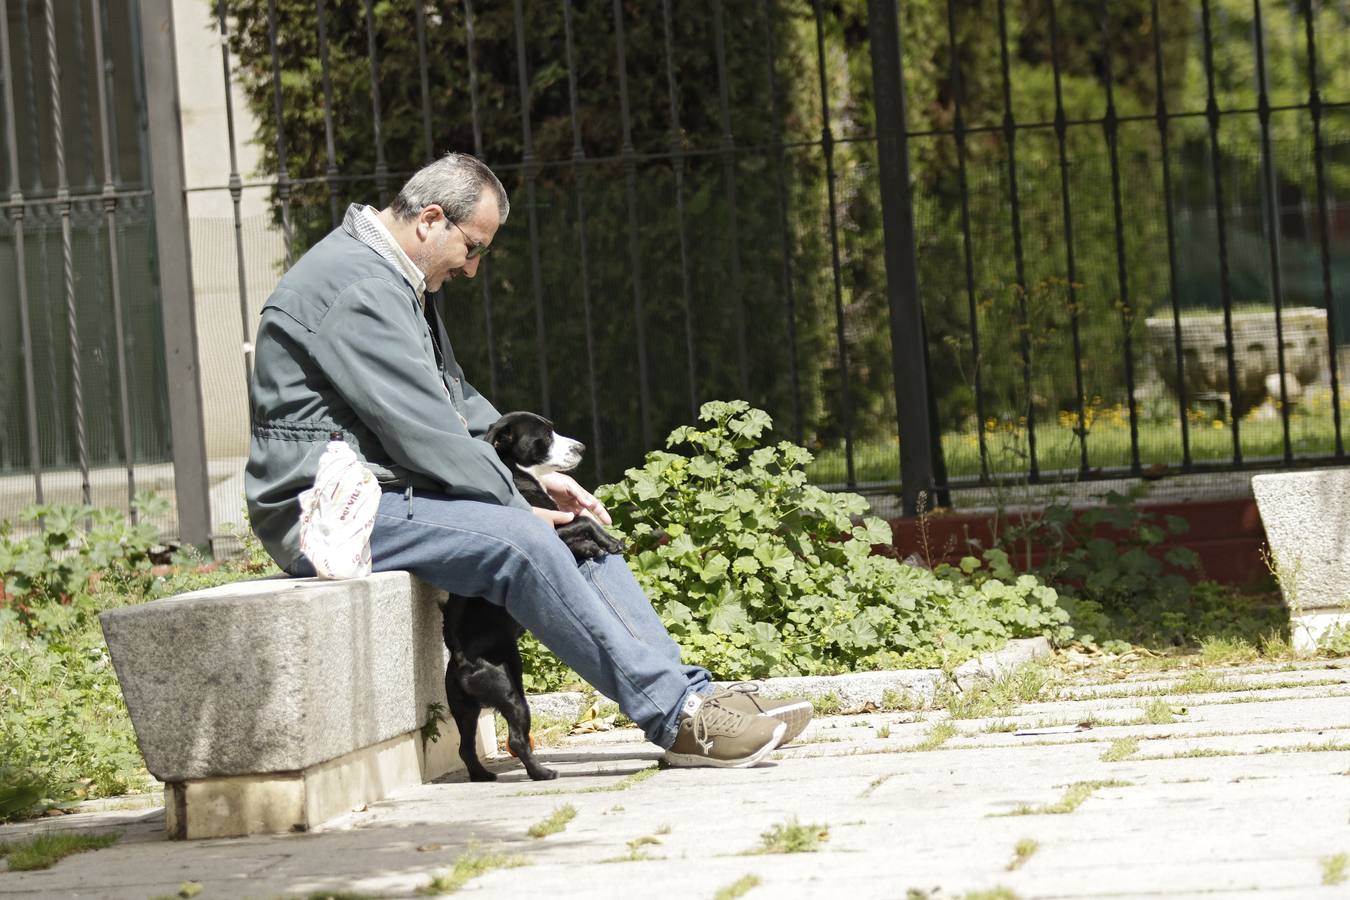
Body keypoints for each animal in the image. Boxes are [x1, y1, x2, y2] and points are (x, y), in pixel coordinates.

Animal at [442, 412, 621, 777]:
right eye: (545, 436)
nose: (581, 447)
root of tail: (463, 660)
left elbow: (581, 528)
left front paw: (594, 548)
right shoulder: (553, 528)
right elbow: (585, 520)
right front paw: (609, 543)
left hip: (464, 710)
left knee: (466, 747)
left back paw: (483, 777)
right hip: (512, 696)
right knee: (518, 739)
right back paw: (541, 773)